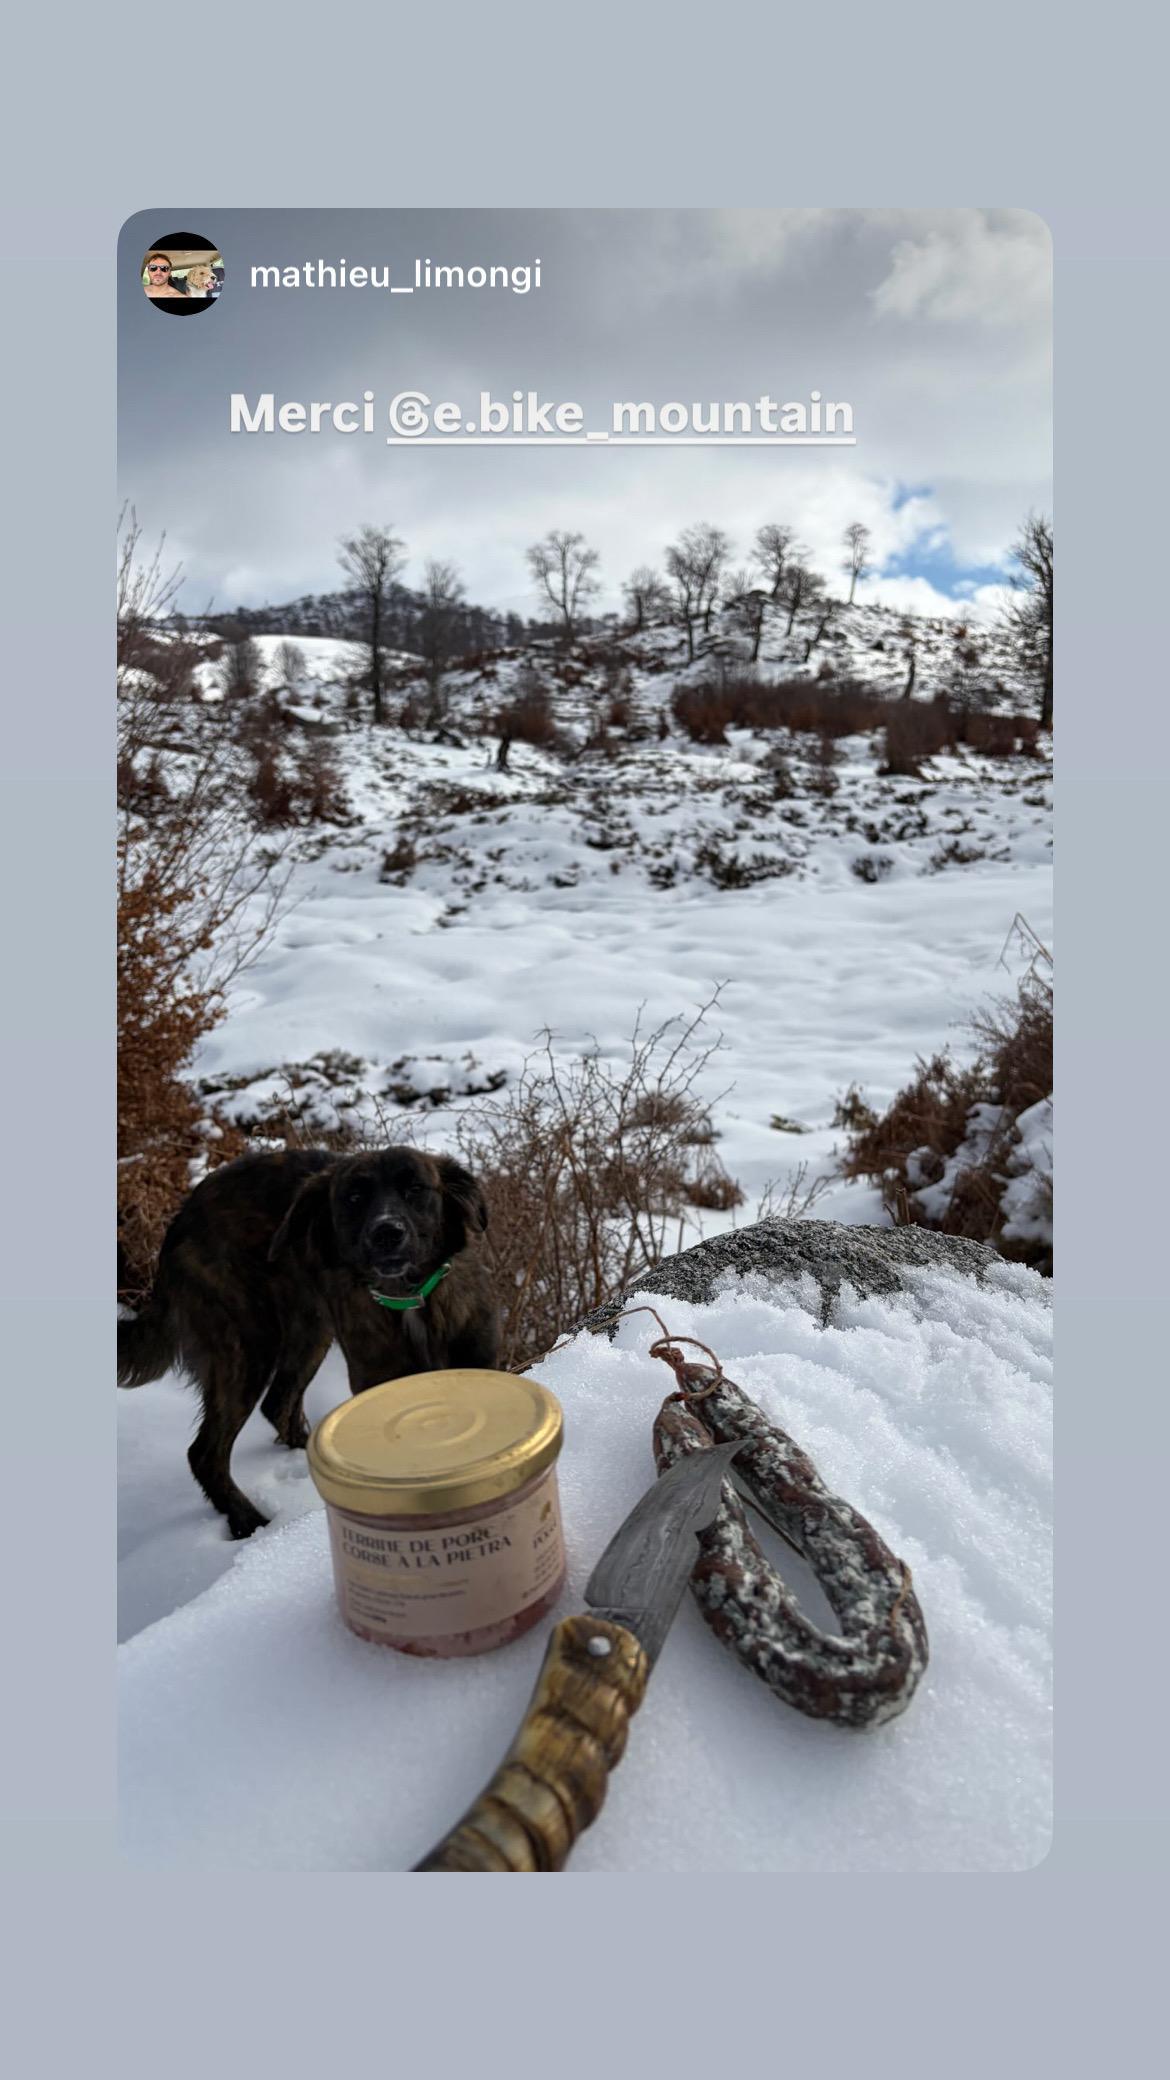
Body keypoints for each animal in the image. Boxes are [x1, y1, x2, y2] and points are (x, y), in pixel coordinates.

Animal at [118, 1146, 499, 1539]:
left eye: (415, 1189)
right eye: (354, 1197)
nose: (387, 1233)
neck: (411, 1299)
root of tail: (180, 1221)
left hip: (310, 1331)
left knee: (276, 1403)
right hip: (245, 1345)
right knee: (205, 1453)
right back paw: (248, 1522)